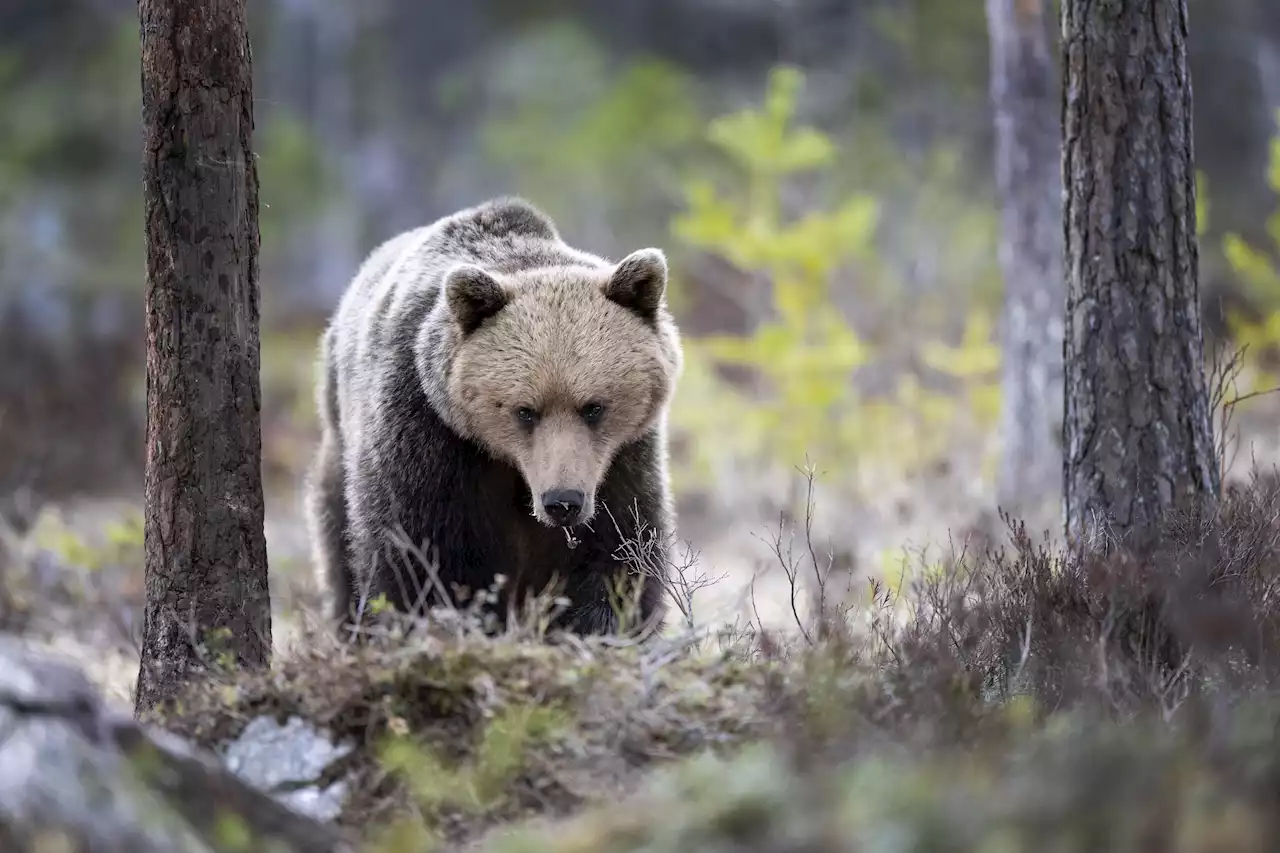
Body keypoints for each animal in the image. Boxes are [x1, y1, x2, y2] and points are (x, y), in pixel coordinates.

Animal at [302, 195, 680, 635]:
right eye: (525, 411)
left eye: (593, 407)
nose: (562, 501)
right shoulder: (429, 437)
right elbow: (418, 554)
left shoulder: (622, 459)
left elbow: (619, 554)